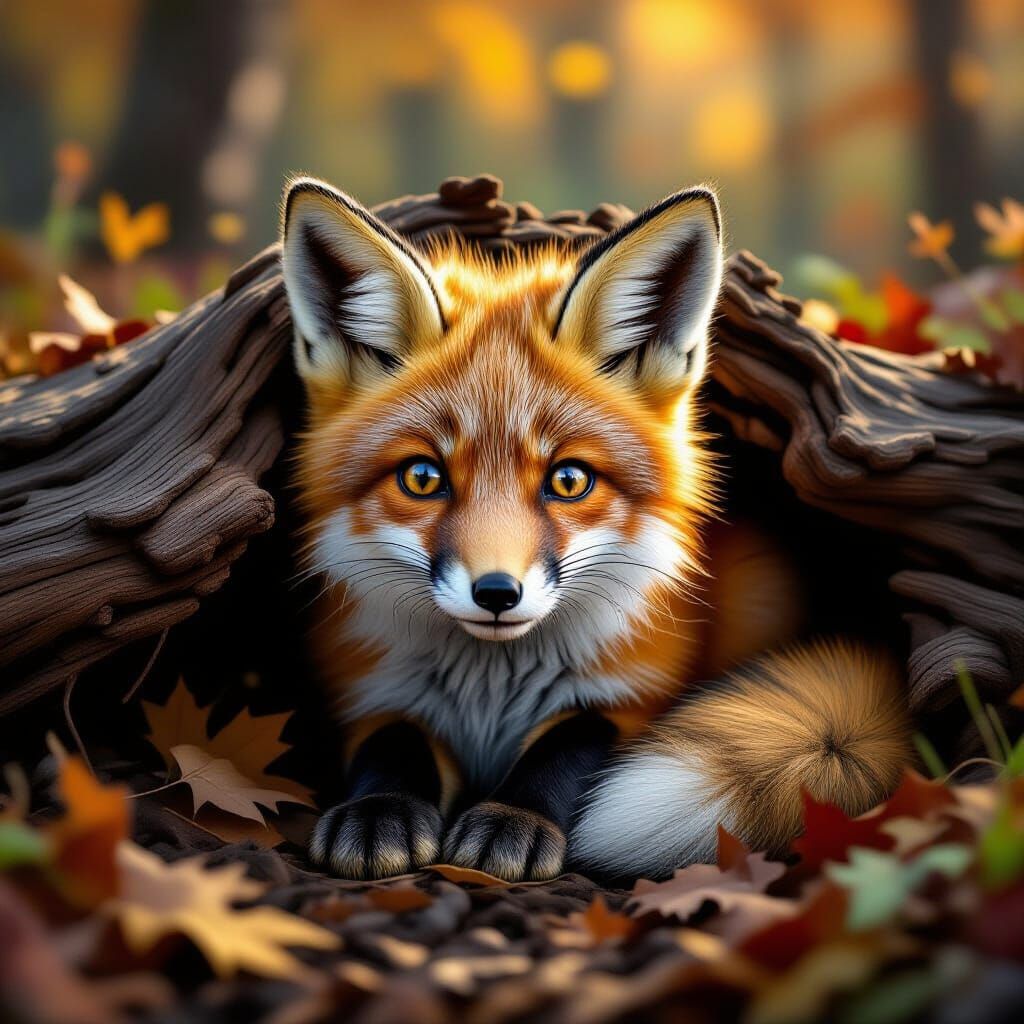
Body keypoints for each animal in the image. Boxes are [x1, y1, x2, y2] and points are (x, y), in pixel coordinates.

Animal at [281, 176, 911, 882]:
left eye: (569, 480)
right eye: (422, 477)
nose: (496, 593)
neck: (489, 691)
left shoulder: (640, 695)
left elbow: (574, 739)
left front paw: (513, 817)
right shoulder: (368, 695)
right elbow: (393, 741)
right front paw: (378, 811)